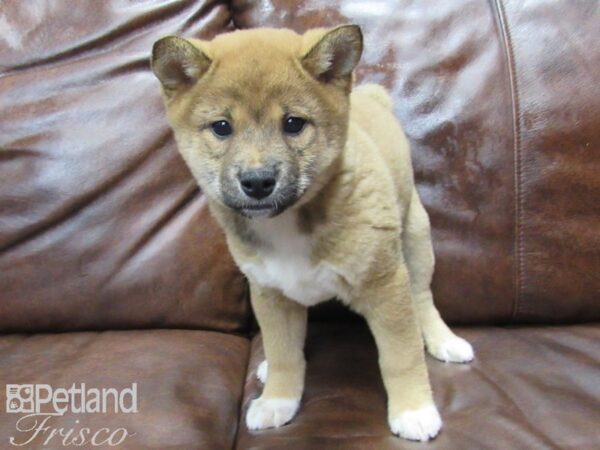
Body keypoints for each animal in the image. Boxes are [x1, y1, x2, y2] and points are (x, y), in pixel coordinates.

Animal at [150, 25, 474, 442]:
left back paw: (443, 341)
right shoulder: (269, 293)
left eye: (293, 123)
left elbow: (400, 357)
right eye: (222, 127)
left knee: (423, 298)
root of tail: (373, 98)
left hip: (416, 242)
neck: (288, 221)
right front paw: (277, 399)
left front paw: (413, 409)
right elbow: (285, 354)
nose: (258, 182)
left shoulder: (385, 284)